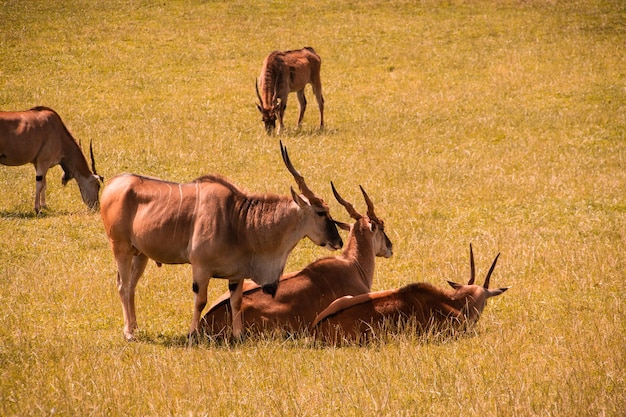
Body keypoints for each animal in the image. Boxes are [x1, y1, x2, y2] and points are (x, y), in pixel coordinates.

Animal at [100, 141, 342, 340]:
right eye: (321, 212)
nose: (338, 241)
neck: (238, 219)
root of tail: (112, 184)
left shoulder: (237, 274)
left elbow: (236, 302)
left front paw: (238, 336)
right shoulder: (200, 268)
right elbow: (200, 301)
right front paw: (192, 334)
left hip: (140, 254)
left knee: (131, 286)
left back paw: (135, 327)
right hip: (120, 247)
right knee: (123, 285)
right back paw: (129, 333)